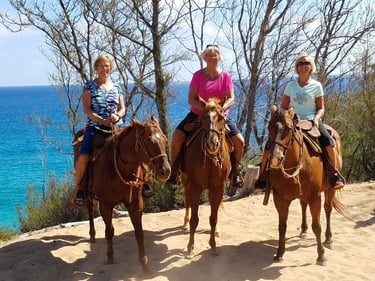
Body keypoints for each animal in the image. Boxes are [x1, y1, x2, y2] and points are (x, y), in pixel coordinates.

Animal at [72, 114, 172, 272]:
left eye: (164, 139)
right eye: (148, 141)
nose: (165, 171)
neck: (120, 168)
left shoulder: (135, 203)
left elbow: (139, 232)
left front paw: (144, 266)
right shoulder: (106, 205)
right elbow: (109, 231)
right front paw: (110, 257)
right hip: (86, 192)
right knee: (90, 210)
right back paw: (92, 236)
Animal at [179, 97, 232, 258]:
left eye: (221, 118)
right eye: (203, 117)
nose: (212, 143)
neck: (210, 159)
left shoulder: (218, 188)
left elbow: (213, 218)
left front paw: (213, 246)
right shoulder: (195, 187)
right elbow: (194, 220)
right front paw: (190, 248)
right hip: (185, 181)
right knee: (187, 201)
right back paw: (185, 222)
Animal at [266, 104, 348, 264]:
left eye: (289, 128)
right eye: (269, 127)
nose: (275, 159)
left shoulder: (315, 197)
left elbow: (317, 226)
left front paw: (321, 256)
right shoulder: (280, 199)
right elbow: (282, 226)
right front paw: (279, 253)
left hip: (330, 189)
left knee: (328, 209)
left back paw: (328, 239)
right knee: (303, 205)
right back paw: (303, 230)